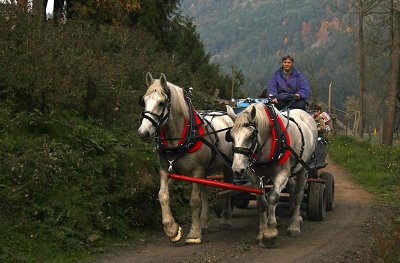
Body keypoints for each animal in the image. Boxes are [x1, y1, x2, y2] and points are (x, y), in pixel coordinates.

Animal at [138, 72, 234, 245]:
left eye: (161, 103)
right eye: (144, 101)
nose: (143, 133)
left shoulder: (196, 171)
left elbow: (194, 202)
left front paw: (194, 234)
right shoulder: (167, 170)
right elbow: (162, 195)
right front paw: (171, 229)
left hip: (227, 167)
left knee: (228, 190)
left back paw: (226, 220)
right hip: (205, 172)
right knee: (205, 192)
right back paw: (204, 223)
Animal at [227, 102, 318, 246]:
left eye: (250, 136)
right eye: (231, 137)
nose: (237, 170)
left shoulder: (282, 173)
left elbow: (273, 197)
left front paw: (270, 232)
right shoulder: (254, 175)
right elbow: (262, 203)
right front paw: (262, 233)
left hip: (304, 168)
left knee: (298, 194)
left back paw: (294, 225)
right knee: (292, 189)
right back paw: (293, 213)